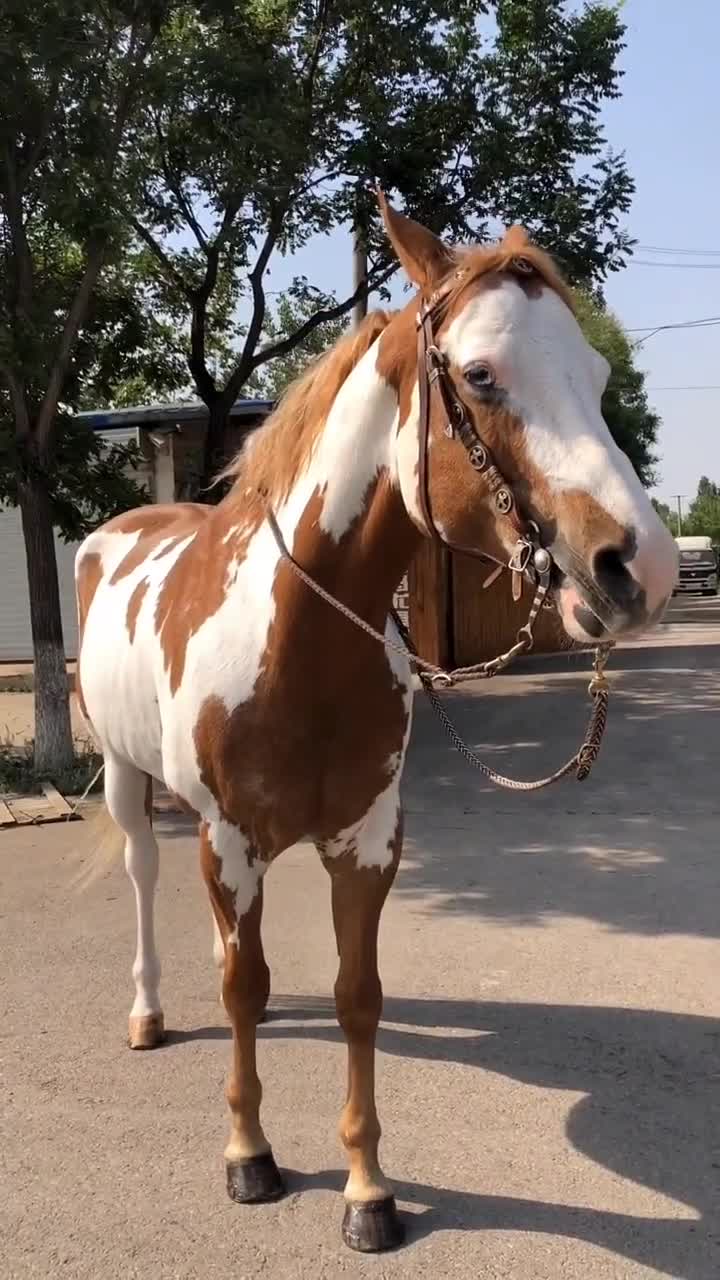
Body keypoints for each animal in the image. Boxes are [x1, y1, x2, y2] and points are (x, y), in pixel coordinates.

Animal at [75, 194, 676, 1254]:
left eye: (598, 377)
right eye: (480, 375)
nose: (639, 569)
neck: (294, 636)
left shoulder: (366, 841)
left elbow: (356, 998)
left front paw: (368, 1191)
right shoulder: (231, 836)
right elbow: (242, 989)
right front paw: (250, 1156)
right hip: (124, 775)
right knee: (150, 880)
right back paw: (147, 1013)